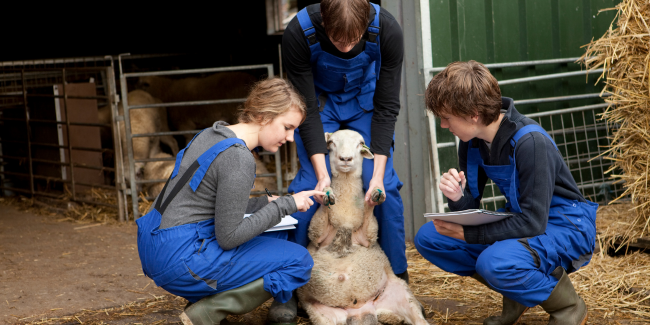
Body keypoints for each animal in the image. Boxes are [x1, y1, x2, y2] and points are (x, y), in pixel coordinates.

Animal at [294, 129, 428, 324]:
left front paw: (373, 197)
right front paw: (326, 193)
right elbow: (321, 216)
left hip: (401, 294)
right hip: (320, 314)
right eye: (332, 143)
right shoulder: (317, 236)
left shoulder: (367, 236)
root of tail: (360, 311)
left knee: (418, 319)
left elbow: (369, 217)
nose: (345, 158)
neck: (345, 218)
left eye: (360, 143)